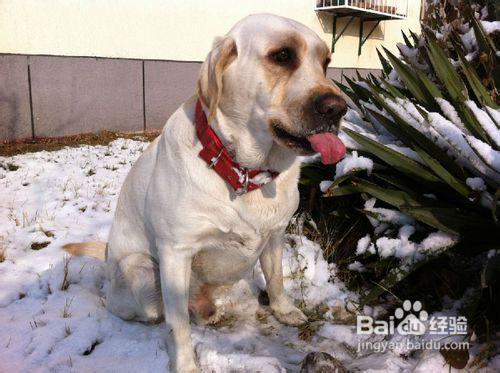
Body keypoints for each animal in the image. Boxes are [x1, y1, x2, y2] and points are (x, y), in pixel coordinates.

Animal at [65, 13, 348, 370]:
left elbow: (276, 277)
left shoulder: (275, 234)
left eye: (325, 63)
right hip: (139, 271)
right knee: (141, 308)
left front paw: (283, 310)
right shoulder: (175, 253)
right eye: (283, 56)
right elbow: (178, 325)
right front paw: (185, 364)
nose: (339, 108)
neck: (244, 172)